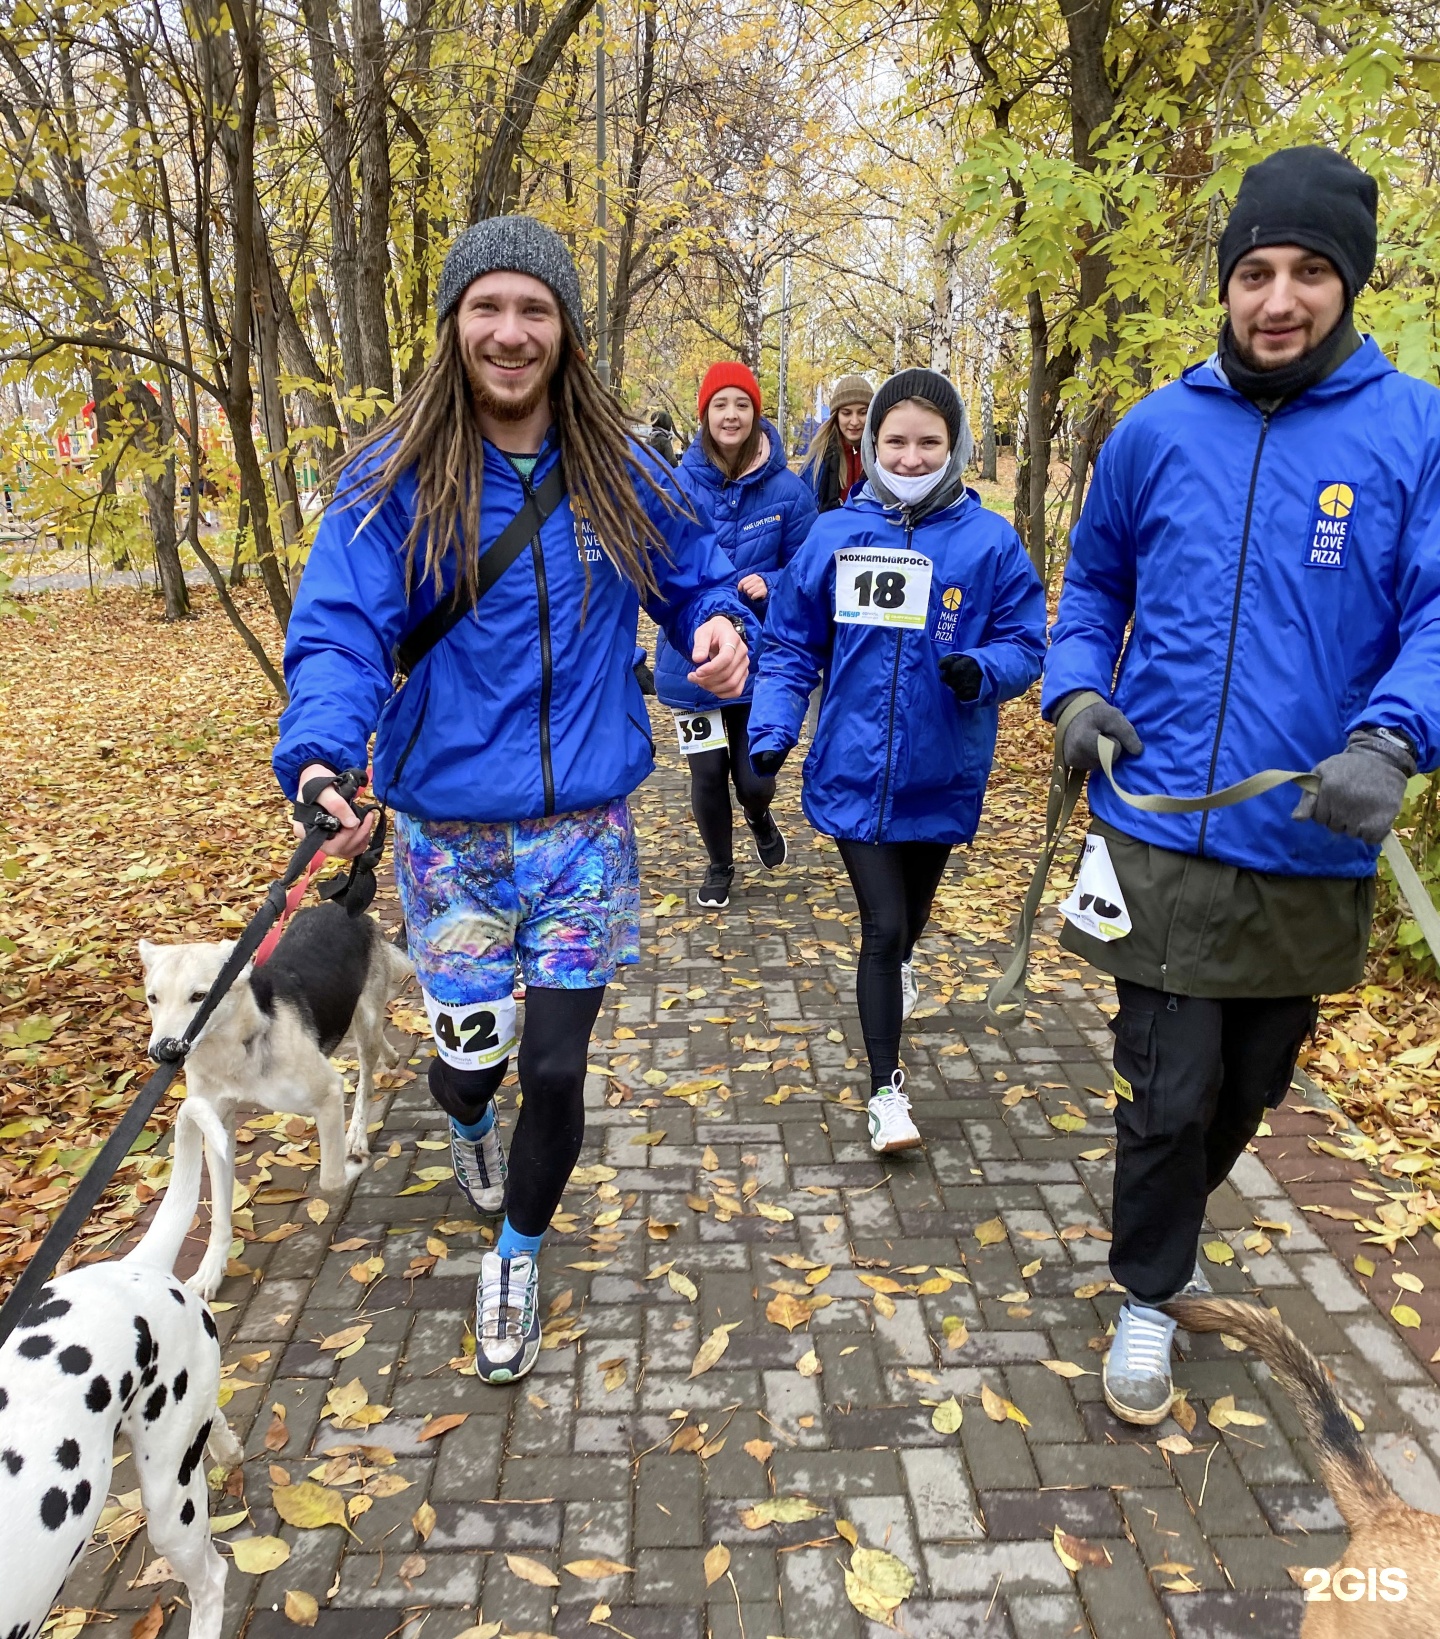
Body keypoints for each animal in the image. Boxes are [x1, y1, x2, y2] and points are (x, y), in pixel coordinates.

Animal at [138, 904, 411, 1298]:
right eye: (153, 998)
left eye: (199, 996)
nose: (162, 1051)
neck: (234, 1050)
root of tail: (341, 905)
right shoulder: (215, 1124)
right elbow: (220, 1214)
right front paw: (211, 1270)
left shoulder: (328, 1092)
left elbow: (331, 1178)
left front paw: (352, 1166)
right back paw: (390, 1057)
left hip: (365, 1021)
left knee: (366, 1080)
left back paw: (358, 1133)